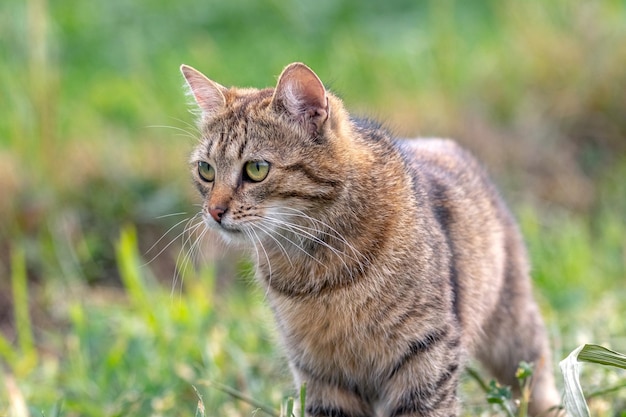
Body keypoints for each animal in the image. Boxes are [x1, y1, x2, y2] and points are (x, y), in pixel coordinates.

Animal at [177, 61, 560, 416]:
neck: (317, 265)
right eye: (206, 170)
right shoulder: (321, 375)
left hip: (512, 329)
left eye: (256, 169)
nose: (214, 211)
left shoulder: (425, 355)